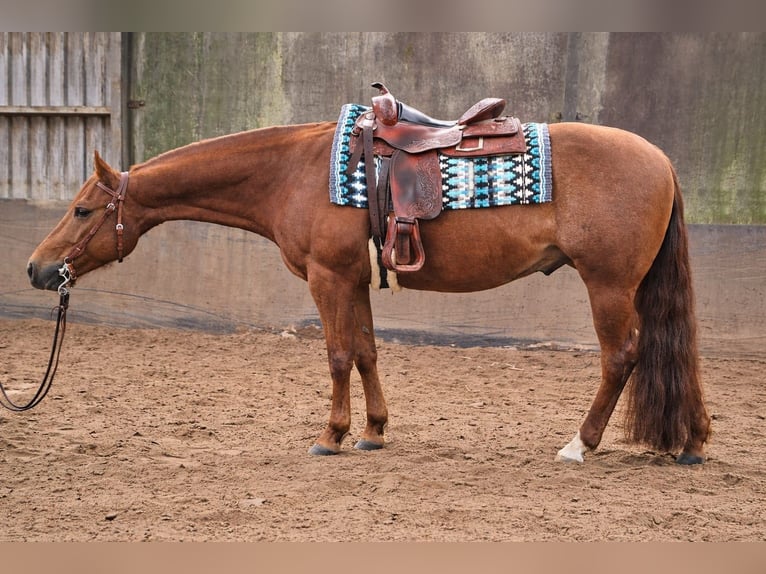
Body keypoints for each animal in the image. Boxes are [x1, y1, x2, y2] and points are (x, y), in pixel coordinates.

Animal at [26, 119, 711, 465]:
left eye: (82, 210)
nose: (37, 269)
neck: (293, 171)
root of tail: (663, 160)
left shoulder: (328, 277)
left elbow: (336, 355)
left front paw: (330, 436)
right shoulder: (353, 279)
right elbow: (365, 352)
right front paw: (374, 431)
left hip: (609, 285)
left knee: (622, 355)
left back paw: (580, 444)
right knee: (673, 352)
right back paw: (692, 442)